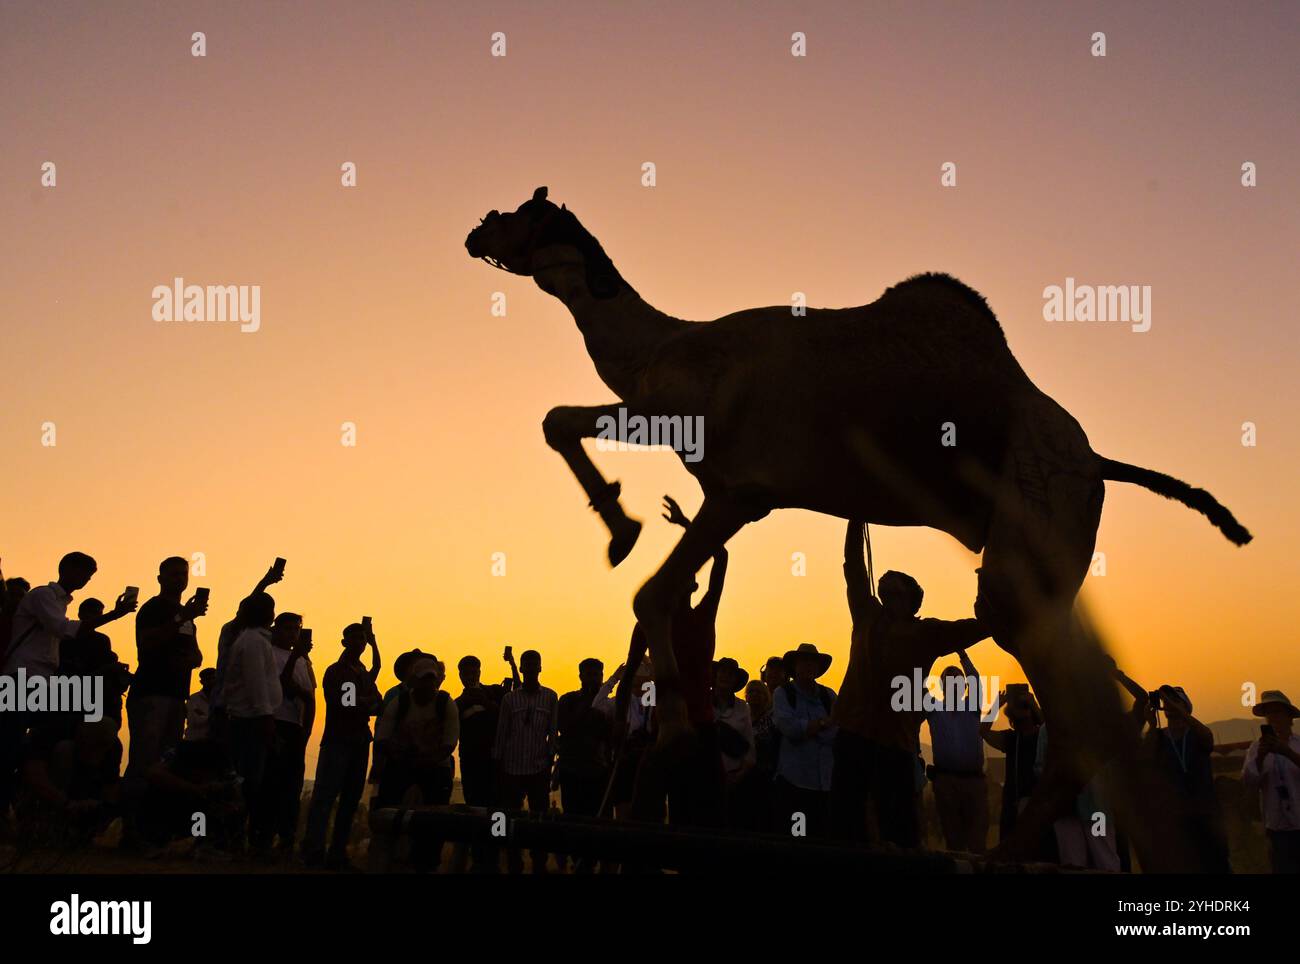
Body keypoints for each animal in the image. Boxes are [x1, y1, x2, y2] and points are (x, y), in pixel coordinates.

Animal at [467, 187, 1248, 867]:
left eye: (523, 211)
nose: (477, 231)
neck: (678, 348)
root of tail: (1098, 462)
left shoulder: (743, 489)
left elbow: (652, 594)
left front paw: (676, 731)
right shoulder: (711, 465)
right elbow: (559, 423)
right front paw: (621, 525)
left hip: (1039, 517)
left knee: (1061, 690)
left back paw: (1007, 851)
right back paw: (1012, 850)